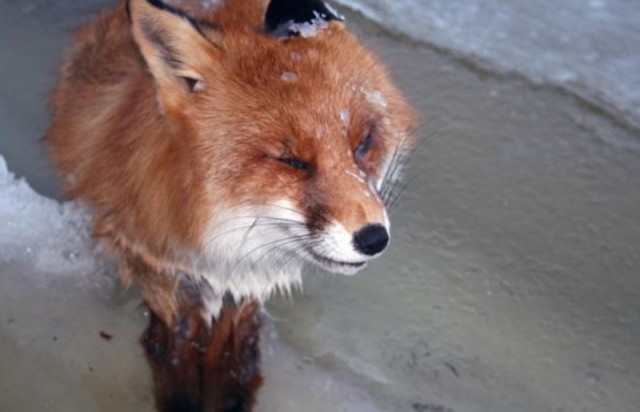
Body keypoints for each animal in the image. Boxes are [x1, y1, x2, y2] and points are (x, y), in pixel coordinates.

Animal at [46, 0, 416, 410]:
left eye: (363, 144)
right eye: (292, 161)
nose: (374, 238)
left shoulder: (247, 280)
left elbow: (232, 353)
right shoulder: (156, 261)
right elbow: (177, 350)